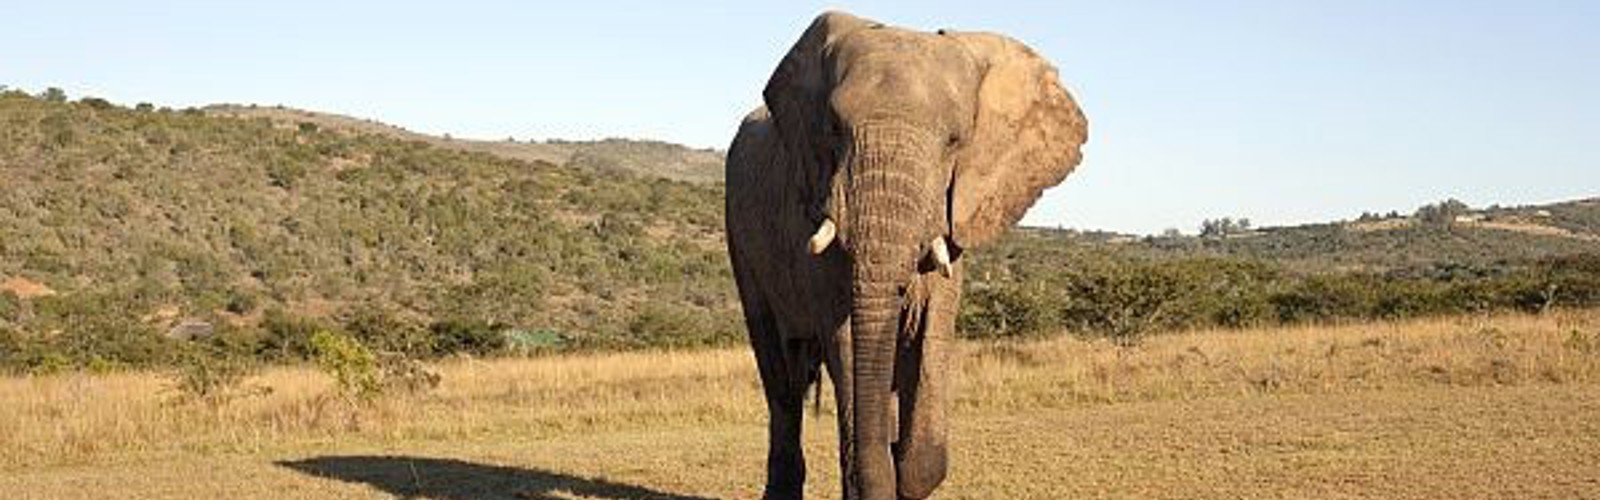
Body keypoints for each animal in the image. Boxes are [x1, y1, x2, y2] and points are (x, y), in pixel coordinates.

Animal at [724, 11, 1088, 500]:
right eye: (834, 129)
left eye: (955, 141)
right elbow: (847, 344)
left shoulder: (956, 213)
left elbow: (931, 333)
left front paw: (904, 466)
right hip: (740, 237)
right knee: (781, 376)